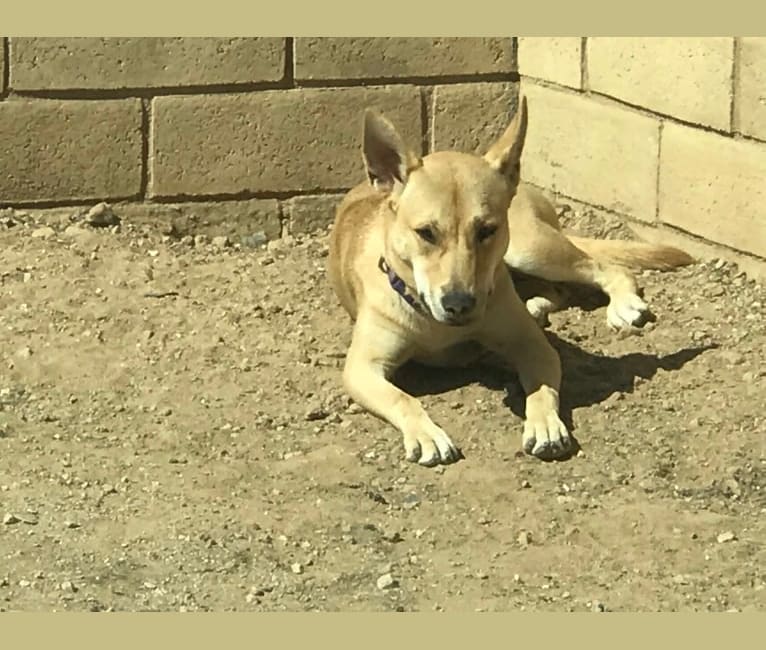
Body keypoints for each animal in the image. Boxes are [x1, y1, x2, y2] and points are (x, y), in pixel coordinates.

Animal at [328, 93, 700, 464]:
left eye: (486, 230)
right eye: (426, 233)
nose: (459, 304)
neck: (436, 325)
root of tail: (521, 184)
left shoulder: (534, 346)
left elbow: (541, 388)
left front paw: (545, 424)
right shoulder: (362, 367)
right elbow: (402, 398)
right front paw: (426, 434)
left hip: (530, 248)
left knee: (604, 268)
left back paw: (622, 305)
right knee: (559, 288)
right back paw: (537, 305)